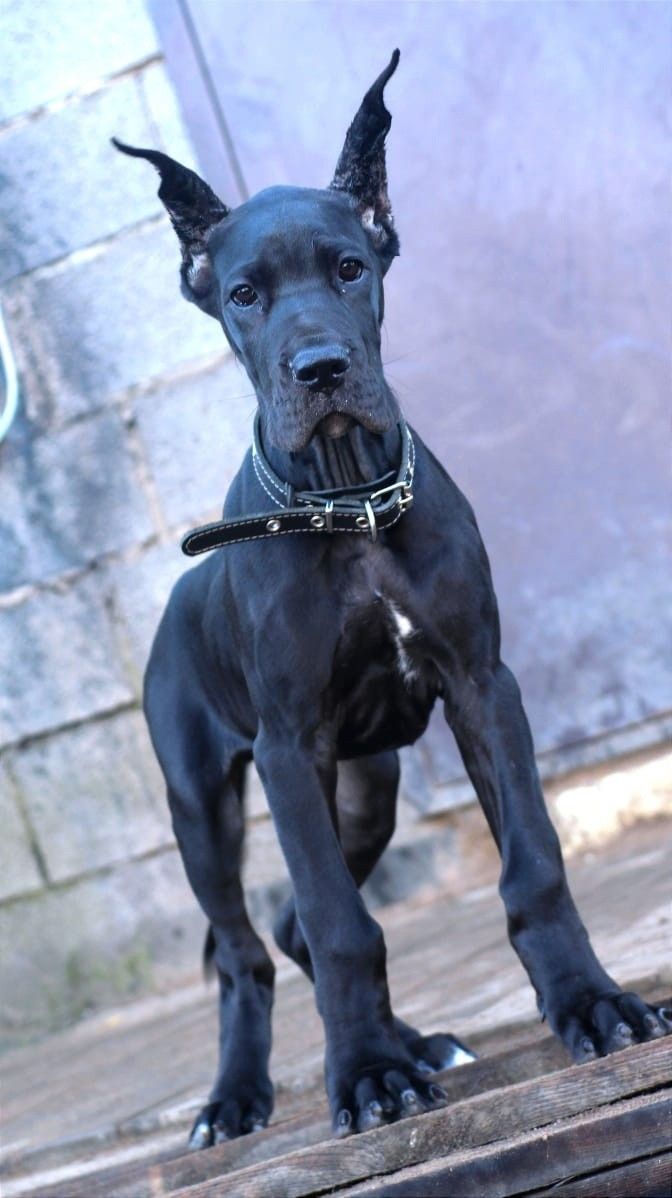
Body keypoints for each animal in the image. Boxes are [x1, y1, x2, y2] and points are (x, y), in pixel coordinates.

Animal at [113, 50, 670, 1146]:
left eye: (349, 268)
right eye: (244, 293)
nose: (321, 368)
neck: (349, 506)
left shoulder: (481, 685)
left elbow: (533, 864)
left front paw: (590, 1003)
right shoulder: (289, 746)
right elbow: (341, 924)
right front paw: (365, 1074)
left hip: (364, 787)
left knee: (290, 923)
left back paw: (419, 1043)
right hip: (204, 802)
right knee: (246, 948)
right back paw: (239, 1095)